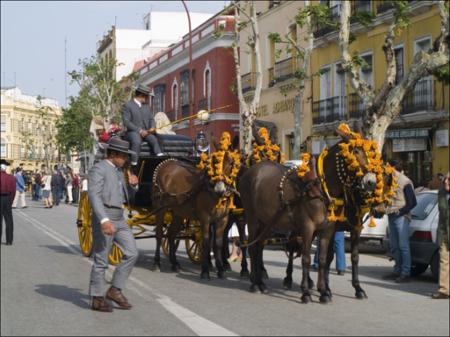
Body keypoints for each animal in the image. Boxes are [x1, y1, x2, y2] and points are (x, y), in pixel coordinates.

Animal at [152, 150, 239, 278]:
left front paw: (221, 270)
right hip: (160, 207)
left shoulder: (222, 220)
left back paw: (174, 263)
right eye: (214, 163)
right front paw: (205, 271)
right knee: (159, 234)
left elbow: (217, 244)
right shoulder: (205, 219)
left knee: (171, 234)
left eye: (230, 164)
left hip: (178, 211)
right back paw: (157, 263)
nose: (220, 189)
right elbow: (206, 243)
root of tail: (166, 163)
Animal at [239, 158, 334, 302]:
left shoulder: (325, 230)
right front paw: (306, 292)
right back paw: (254, 284)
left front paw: (323, 292)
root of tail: (249, 171)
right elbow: (306, 259)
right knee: (252, 248)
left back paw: (260, 283)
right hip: (252, 218)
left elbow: (322, 260)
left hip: (266, 222)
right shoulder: (307, 228)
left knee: (259, 247)